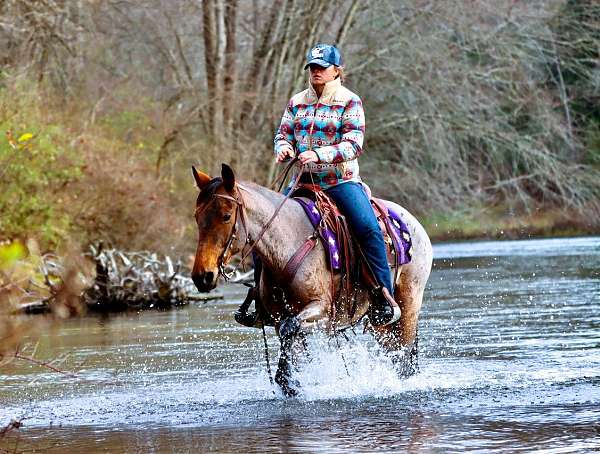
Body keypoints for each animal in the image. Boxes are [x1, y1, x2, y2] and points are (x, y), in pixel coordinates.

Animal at [192, 165, 432, 396]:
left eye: (226, 215)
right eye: (197, 217)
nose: (202, 276)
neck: (289, 243)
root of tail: (413, 222)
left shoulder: (322, 309)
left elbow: (290, 329)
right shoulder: (280, 317)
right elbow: (288, 338)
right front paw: (290, 383)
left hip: (408, 305)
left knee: (404, 358)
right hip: (377, 324)